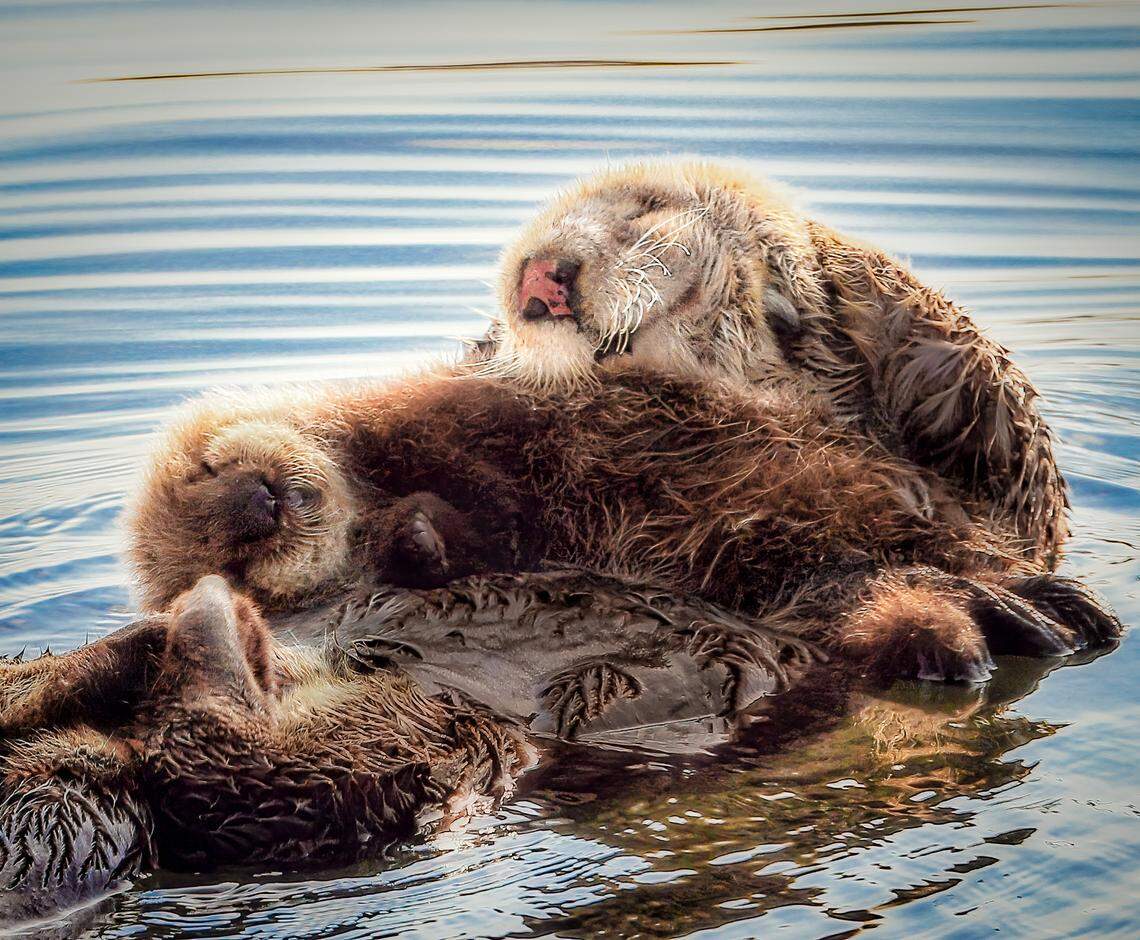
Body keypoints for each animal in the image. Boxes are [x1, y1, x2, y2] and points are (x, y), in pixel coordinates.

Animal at [125, 367, 1120, 683]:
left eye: (207, 470)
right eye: (231, 564)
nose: (257, 505)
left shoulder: (415, 417)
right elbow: (453, 539)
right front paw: (419, 539)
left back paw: (1051, 608)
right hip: (793, 574)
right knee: (882, 587)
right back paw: (1007, 627)